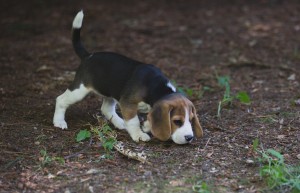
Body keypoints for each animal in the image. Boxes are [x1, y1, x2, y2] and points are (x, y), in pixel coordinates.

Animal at [54, 10, 204, 143]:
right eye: (177, 121)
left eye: (191, 120)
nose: (189, 138)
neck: (158, 88)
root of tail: (88, 56)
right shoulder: (128, 103)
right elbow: (133, 121)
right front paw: (139, 134)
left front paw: (147, 126)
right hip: (80, 90)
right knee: (61, 100)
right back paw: (59, 121)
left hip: (111, 92)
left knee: (106, 109)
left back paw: (121, 123)